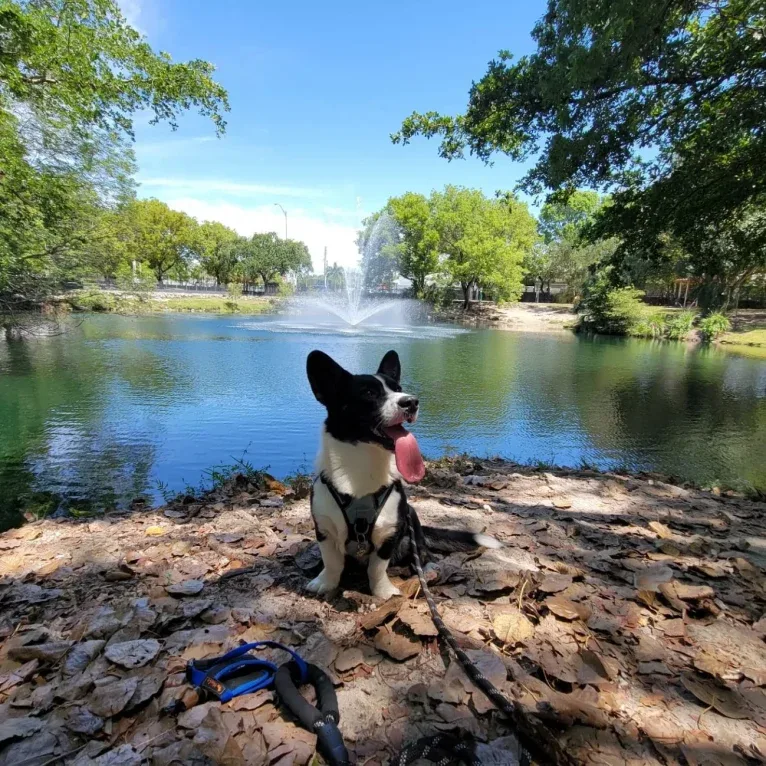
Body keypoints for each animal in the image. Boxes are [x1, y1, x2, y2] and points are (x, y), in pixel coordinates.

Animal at [306, 352, 504, 604]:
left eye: (398, 388)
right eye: (368, 392)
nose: (412, 401)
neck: (364, 464)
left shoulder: (390, 532)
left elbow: (377, 567)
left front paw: (382, 592)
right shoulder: (324, 529)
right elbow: (332, 562)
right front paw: (325, 582)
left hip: (411, 518)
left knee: (422, 550)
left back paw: (427, 567)